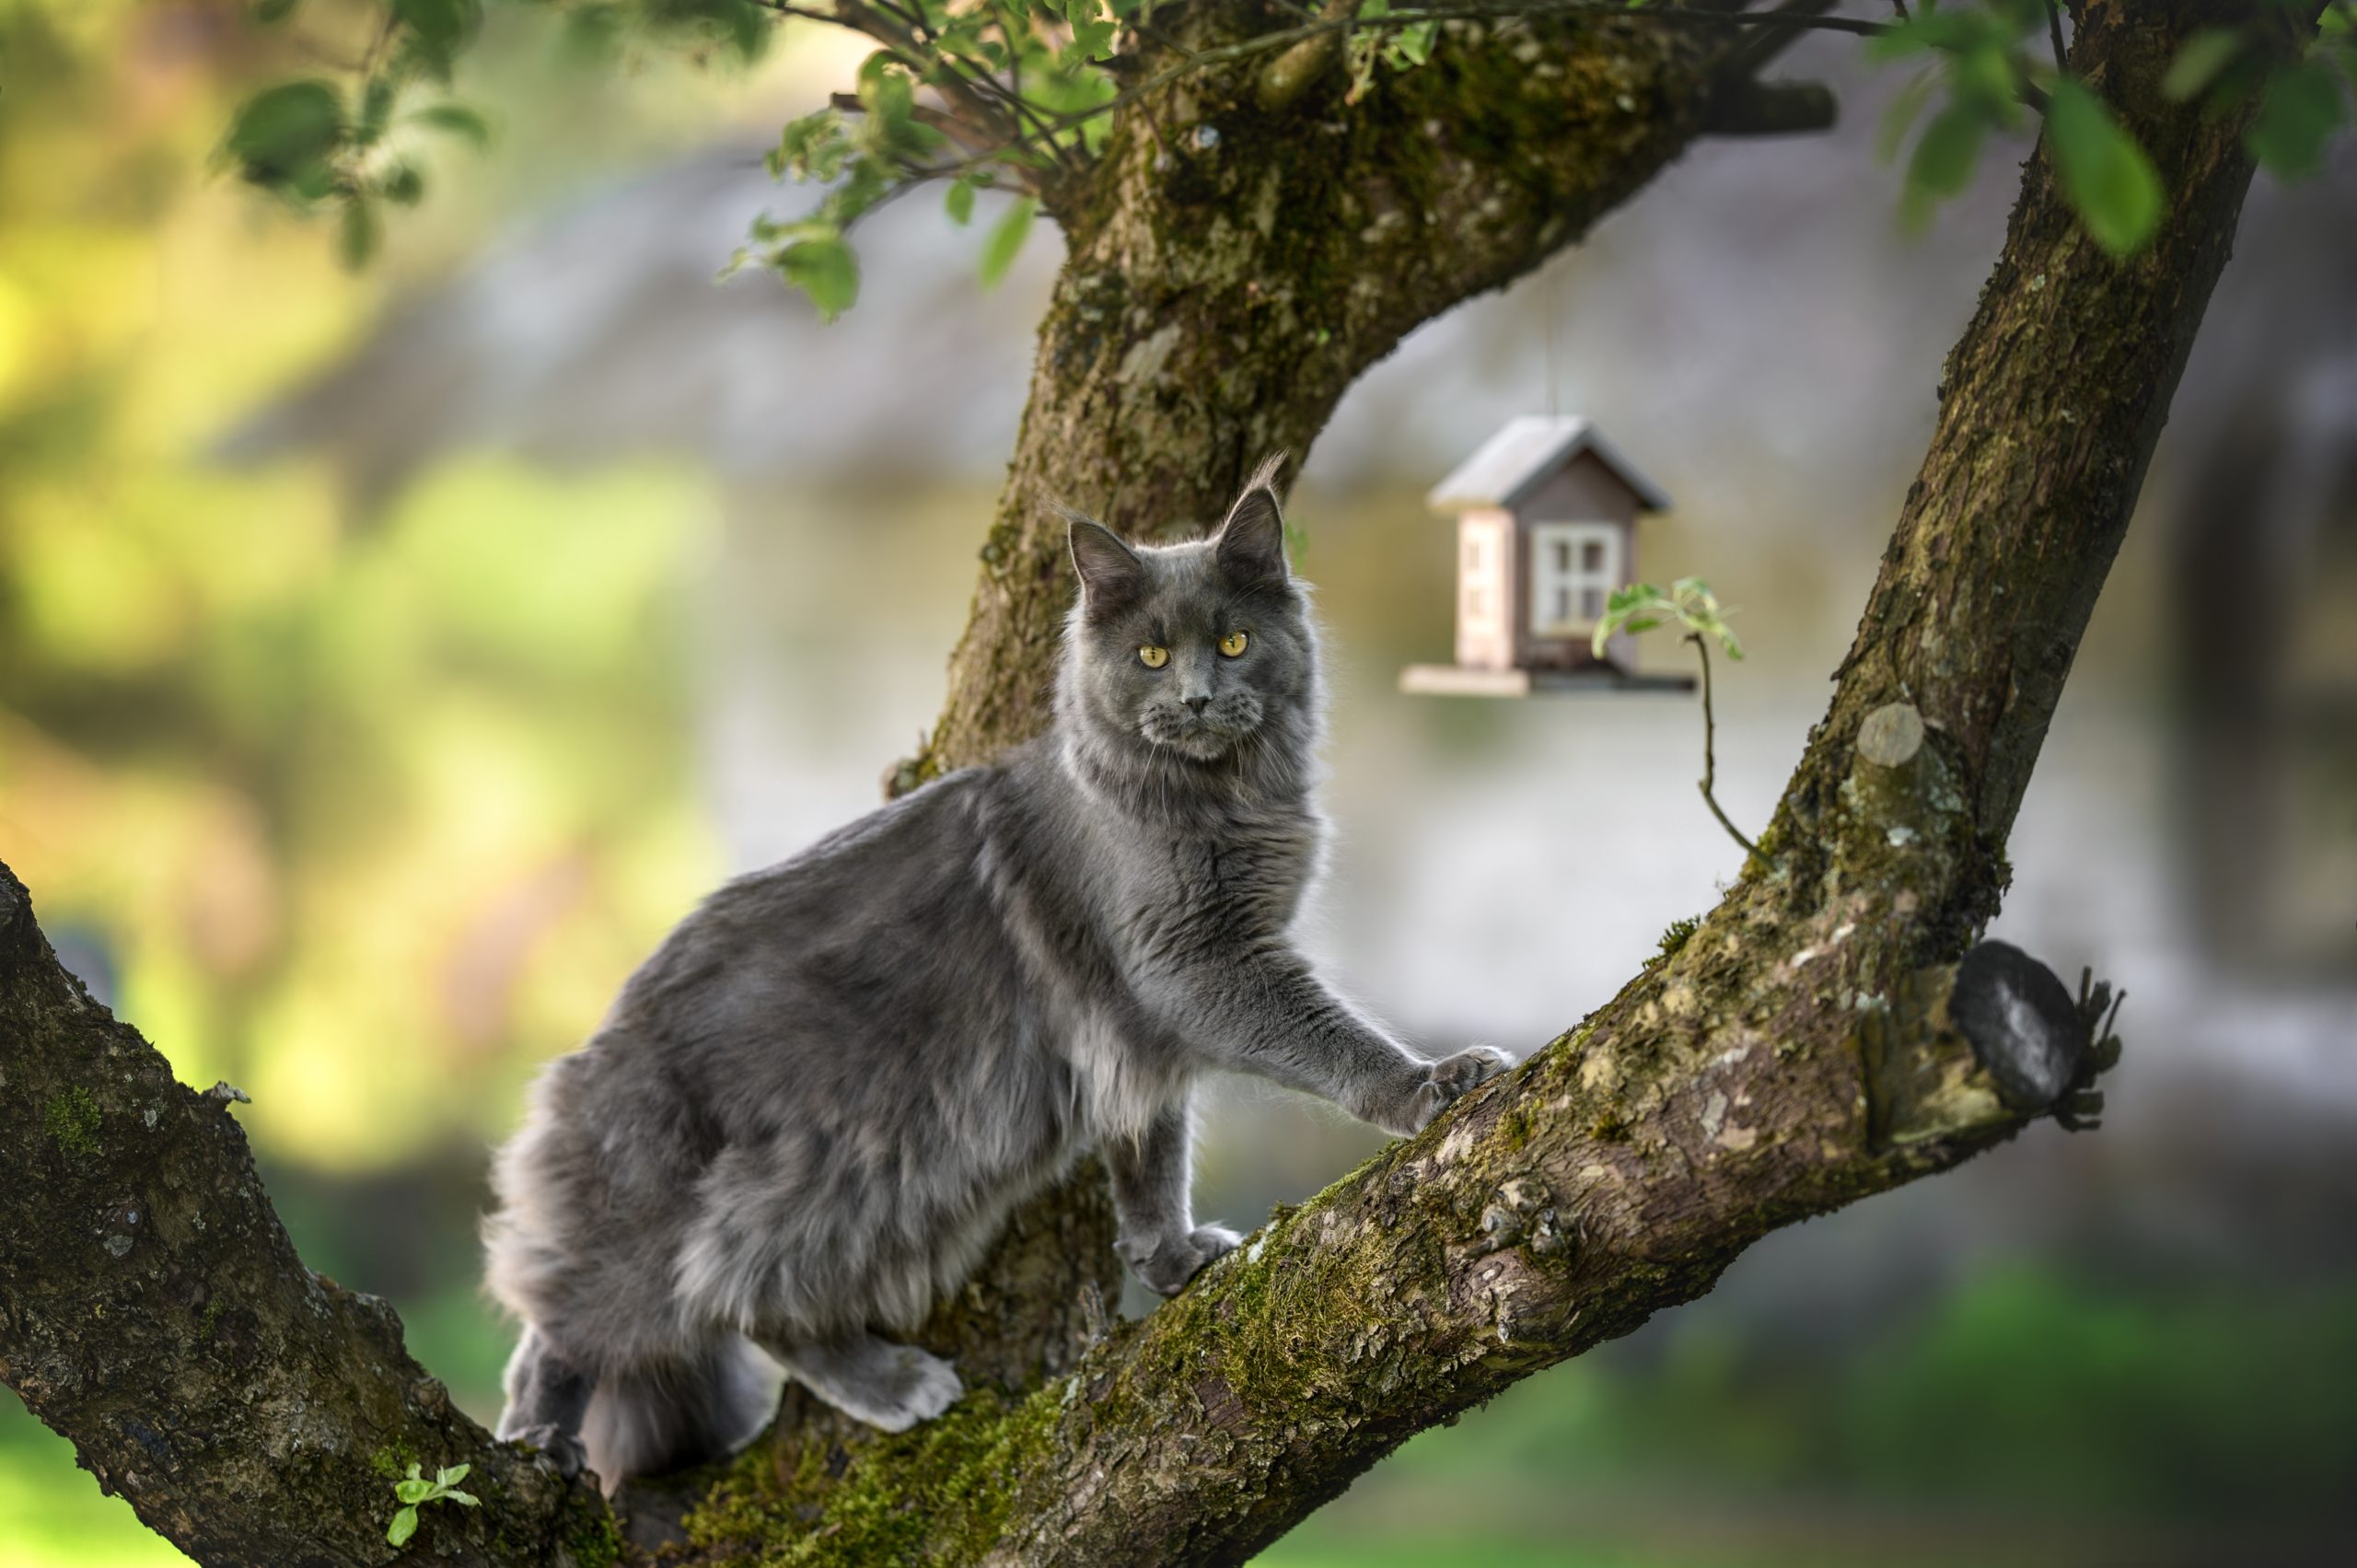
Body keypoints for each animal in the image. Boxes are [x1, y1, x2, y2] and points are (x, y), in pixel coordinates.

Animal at [482, 461, 1508, 1481]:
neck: (1214, 798)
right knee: (641, 1308)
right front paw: (1427, 1083)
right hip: (774, 1188)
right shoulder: (1195, 965)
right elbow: (1328, 1039)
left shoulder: (1138, 1032)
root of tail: (591, 1046)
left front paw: (1170, 1257)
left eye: (1233, 641)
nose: (1197, 699)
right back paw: (579, 1433)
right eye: (1150, 656)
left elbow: (1150, 1159)